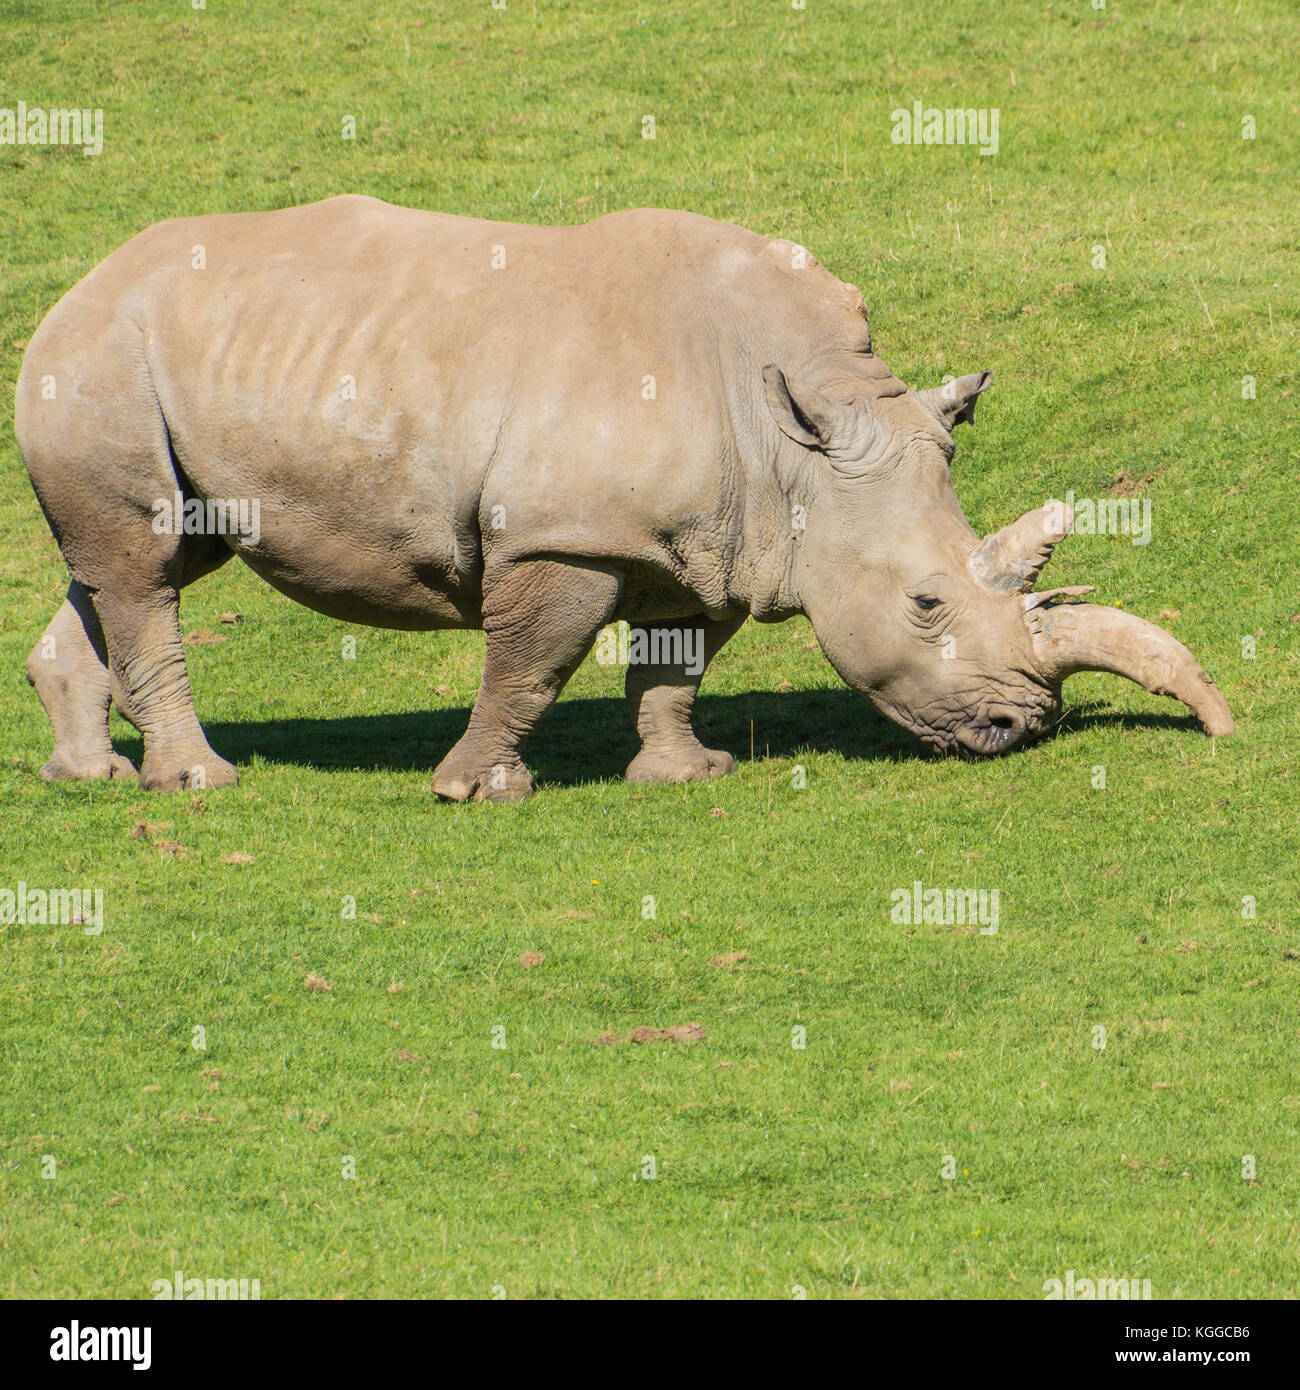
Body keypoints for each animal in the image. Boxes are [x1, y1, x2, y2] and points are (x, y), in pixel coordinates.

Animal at [17, 198, 1229, 806]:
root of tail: (72, 288)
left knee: (144, 562)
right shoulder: (566, 538)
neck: (792, 434)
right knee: (145, 566)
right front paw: (475, 792)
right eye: (926, 604)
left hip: (171, 363)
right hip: (102, 359)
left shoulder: (714, 536)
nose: (1022, 726)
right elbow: (531, 663)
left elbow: (675, 662)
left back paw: (90, 776)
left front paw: (685, 775)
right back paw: (198, 784)